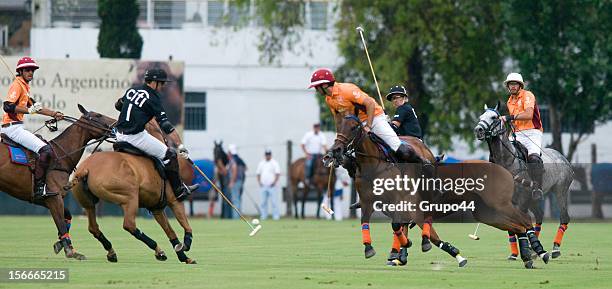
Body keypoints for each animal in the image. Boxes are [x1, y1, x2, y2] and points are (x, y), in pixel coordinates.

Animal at [0, 103, 115, 258]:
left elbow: (67, 217)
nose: (117, 124)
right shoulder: (53, 197)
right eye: (98, 115)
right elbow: (60, 222)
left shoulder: (49, 199)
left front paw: (61, 243)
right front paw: (70, 251)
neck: (61, 156)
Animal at [70, 113, 197, 262]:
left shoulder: (157, 208)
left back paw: (112, 252)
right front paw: (186, 244)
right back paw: (158, 250)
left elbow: (170, 231)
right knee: (129, 225)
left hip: (88, 203)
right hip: (130, 197)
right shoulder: (173, 200)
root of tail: (86, 169)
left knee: (93, 227)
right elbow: (185, 223)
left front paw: (183, 256)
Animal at [330, 112, 548, 268]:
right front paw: (385, 252)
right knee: (517, 226)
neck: (378, 165)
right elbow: (374, 224)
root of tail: (504, 169)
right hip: (486, 212)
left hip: (500, 204)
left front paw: (453, 254)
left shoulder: (411, 209)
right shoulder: (372, 204)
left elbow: (424, 235)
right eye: (337, 126)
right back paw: (529, 256)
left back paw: (540, 251)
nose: (334, 152)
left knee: (525, 221)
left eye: (354, 127)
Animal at [474, 103, 572, 258]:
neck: (507, 161)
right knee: (539, 215)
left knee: (564, 217)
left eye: (494, 117)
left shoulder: (522, 199)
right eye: (480, 117)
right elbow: (511, 226)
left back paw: (555, 249)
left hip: (560, 191)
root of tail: (563, 157)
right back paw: (534, 250)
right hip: (533, 199)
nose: (478, 130)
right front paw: (515, 254)